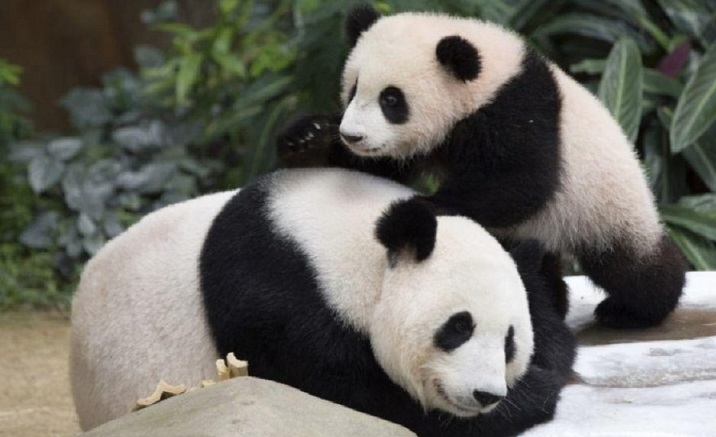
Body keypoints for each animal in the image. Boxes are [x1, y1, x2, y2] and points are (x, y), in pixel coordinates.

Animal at [70, 168, 575, 436]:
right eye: (458, 327)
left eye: (510, 342)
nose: (486, 394)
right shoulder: (278, 294)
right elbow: (357, 396)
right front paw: (535, 395)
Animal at [278, 6, 688, 329]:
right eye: (353, 90)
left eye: (391, 99)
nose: (353, 136)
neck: (486, 78)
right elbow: (379, 166)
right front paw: (308, 139)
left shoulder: (517, 107)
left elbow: (520, 181)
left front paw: (425, 206)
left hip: (602, 204)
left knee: (630, 265)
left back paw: (635, 309)